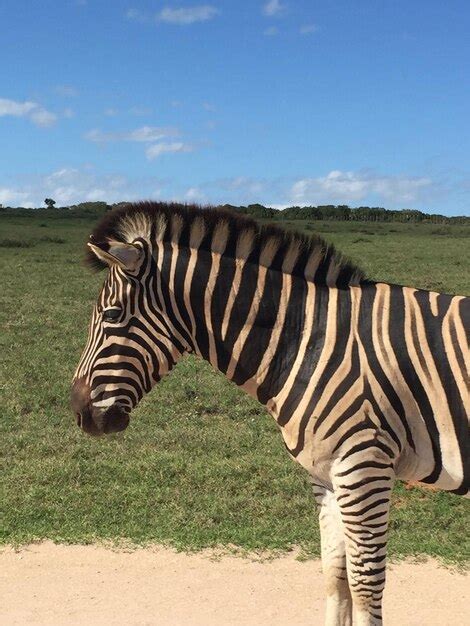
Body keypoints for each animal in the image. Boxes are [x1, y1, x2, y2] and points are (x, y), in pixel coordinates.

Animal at [71, 201, 468, 624]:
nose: (78, 412)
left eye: (112, 315)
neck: (311, 342)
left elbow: (364, 588)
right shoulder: (327, 474)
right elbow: (334, 575)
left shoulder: (364, 467)